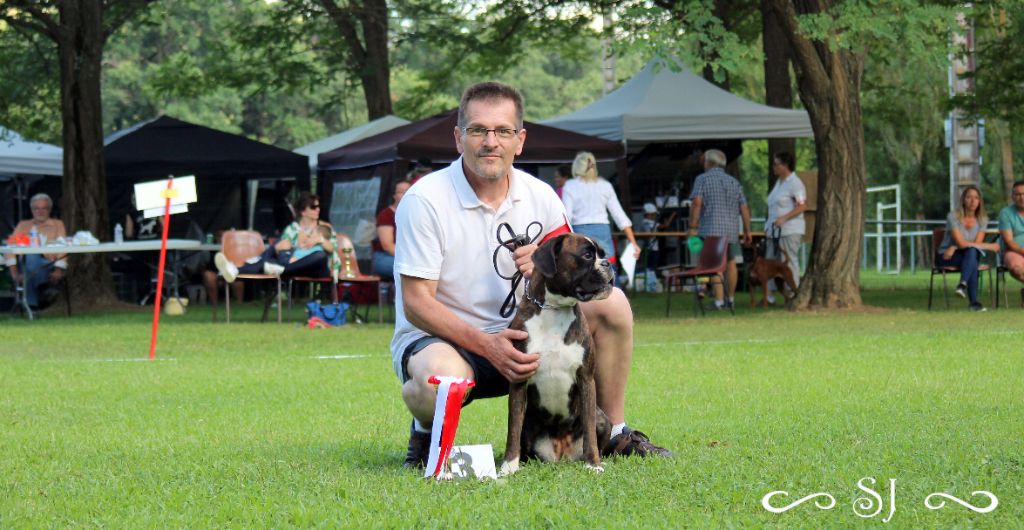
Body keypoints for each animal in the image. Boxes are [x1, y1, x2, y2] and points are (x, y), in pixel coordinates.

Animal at [497, 234, 610, 478]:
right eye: (587, 255)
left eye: (602, 253)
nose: (608, 264)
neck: (554, 308)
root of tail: (562, 455)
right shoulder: (519, 378)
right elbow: (512, 429)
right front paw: (509, 466)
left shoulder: (586, 379)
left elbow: (589, 431)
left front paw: (593, 464)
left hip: (603, 419)